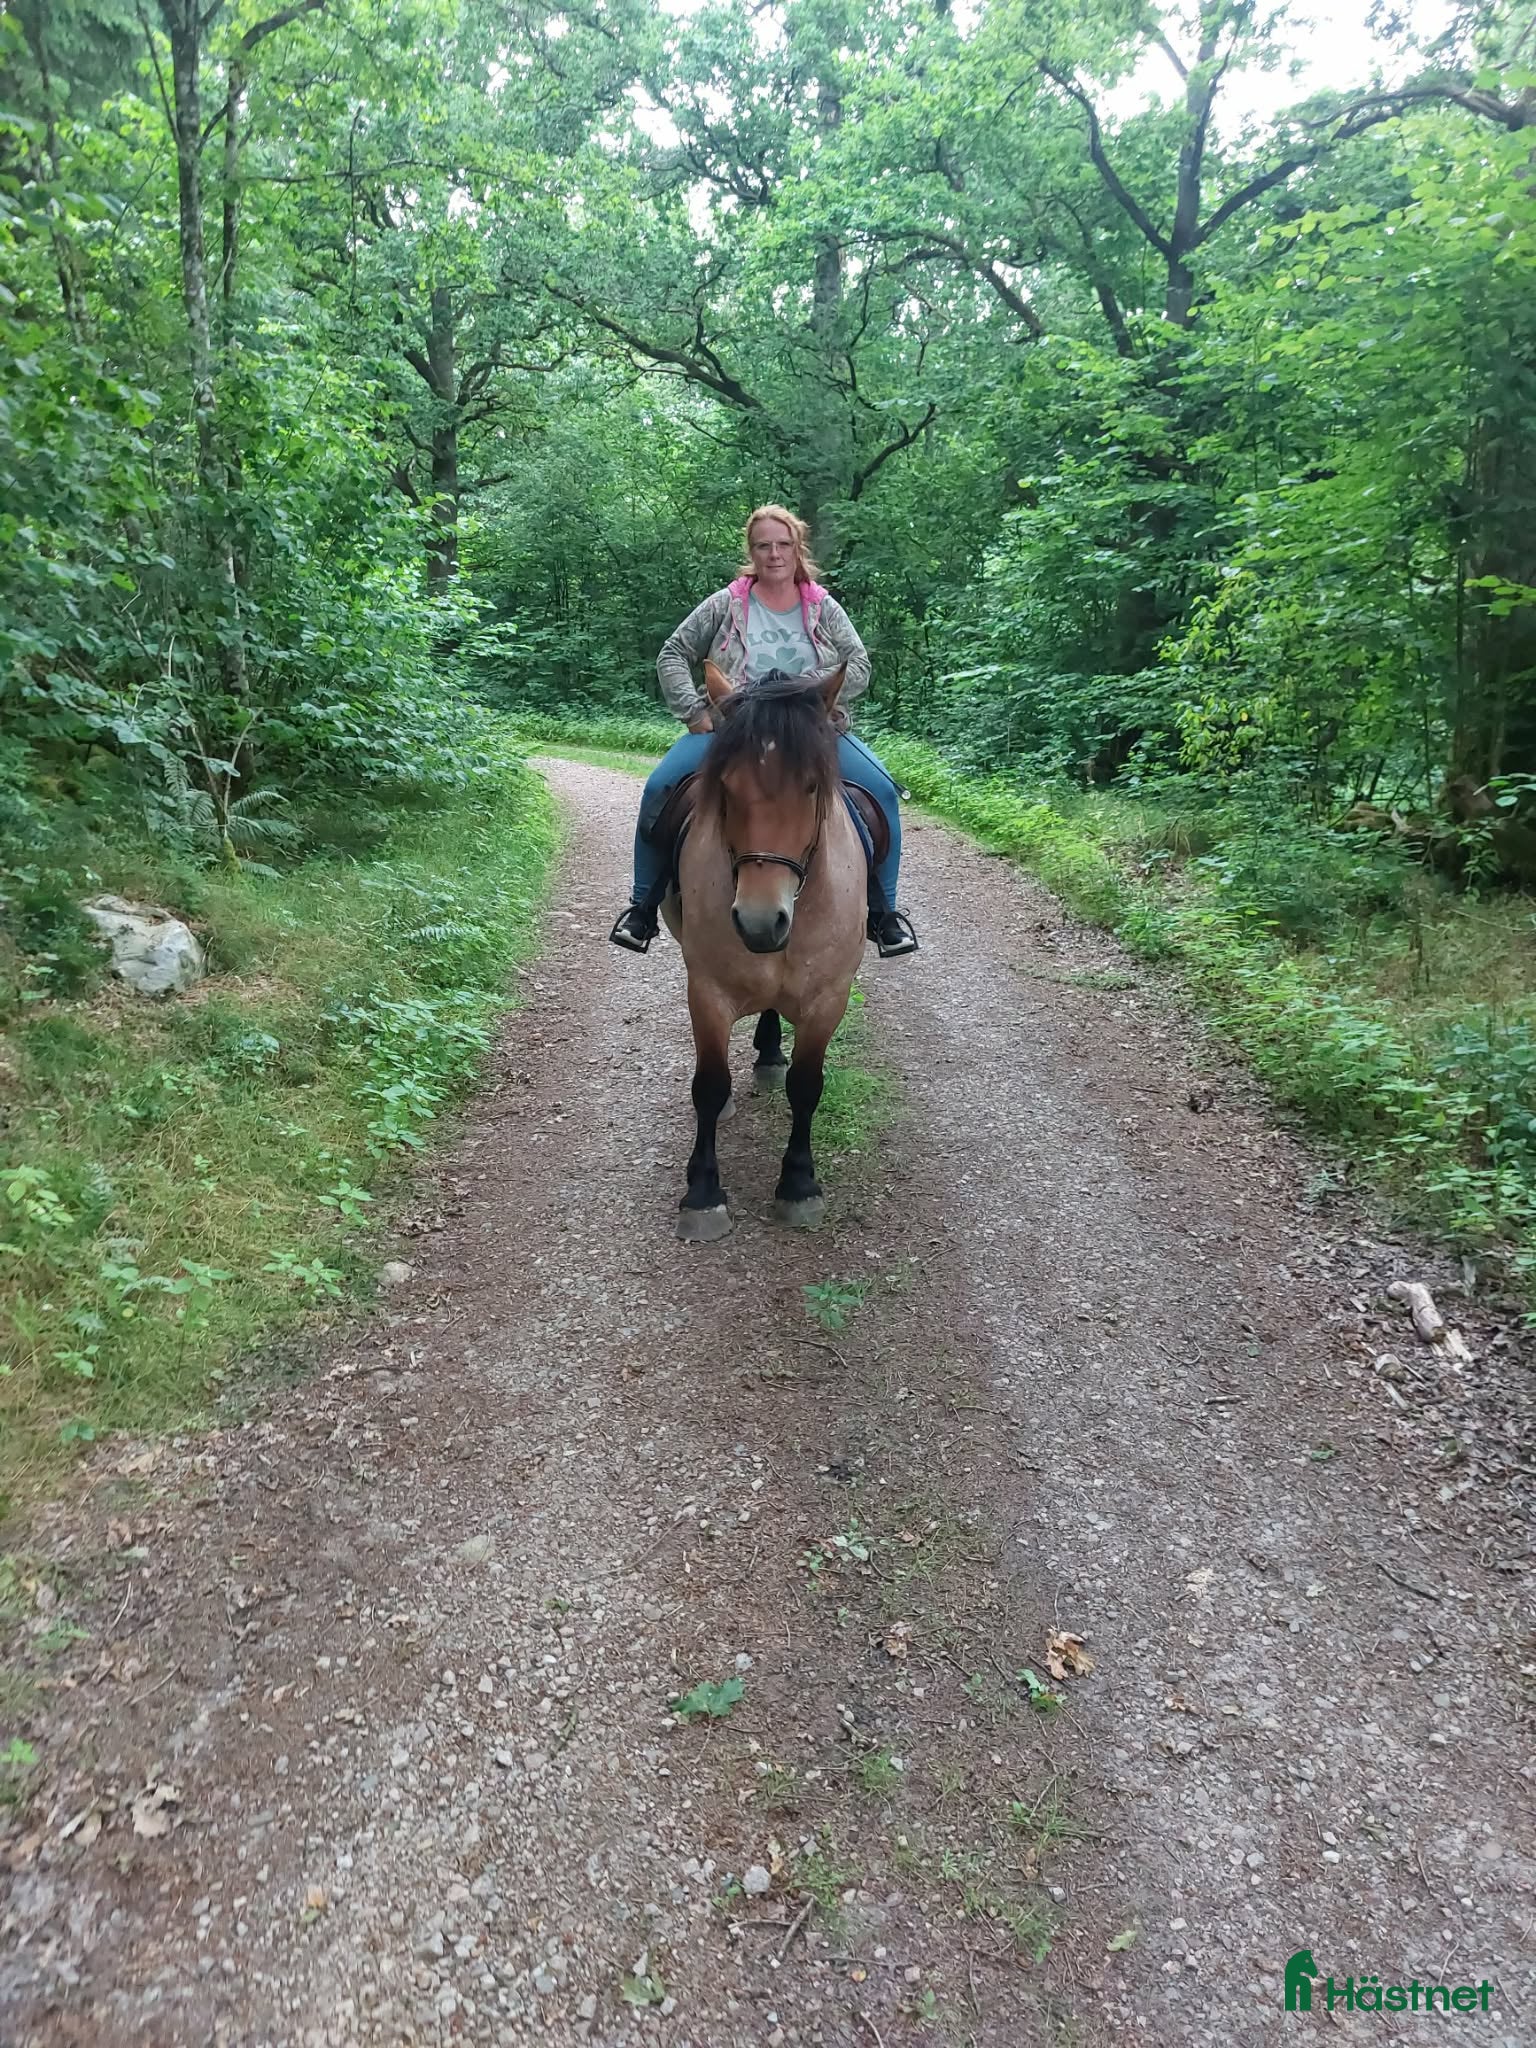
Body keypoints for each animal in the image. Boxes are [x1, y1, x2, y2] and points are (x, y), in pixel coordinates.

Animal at [661, 660, 867, 1242]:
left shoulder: (829, 998)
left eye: (813, 785)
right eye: (726, 787)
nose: (759, 921)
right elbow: (709, 1084)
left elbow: (807, 1085)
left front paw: (798, 1184)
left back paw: (771, 1056)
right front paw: (703, 1194)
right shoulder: (705, 990)